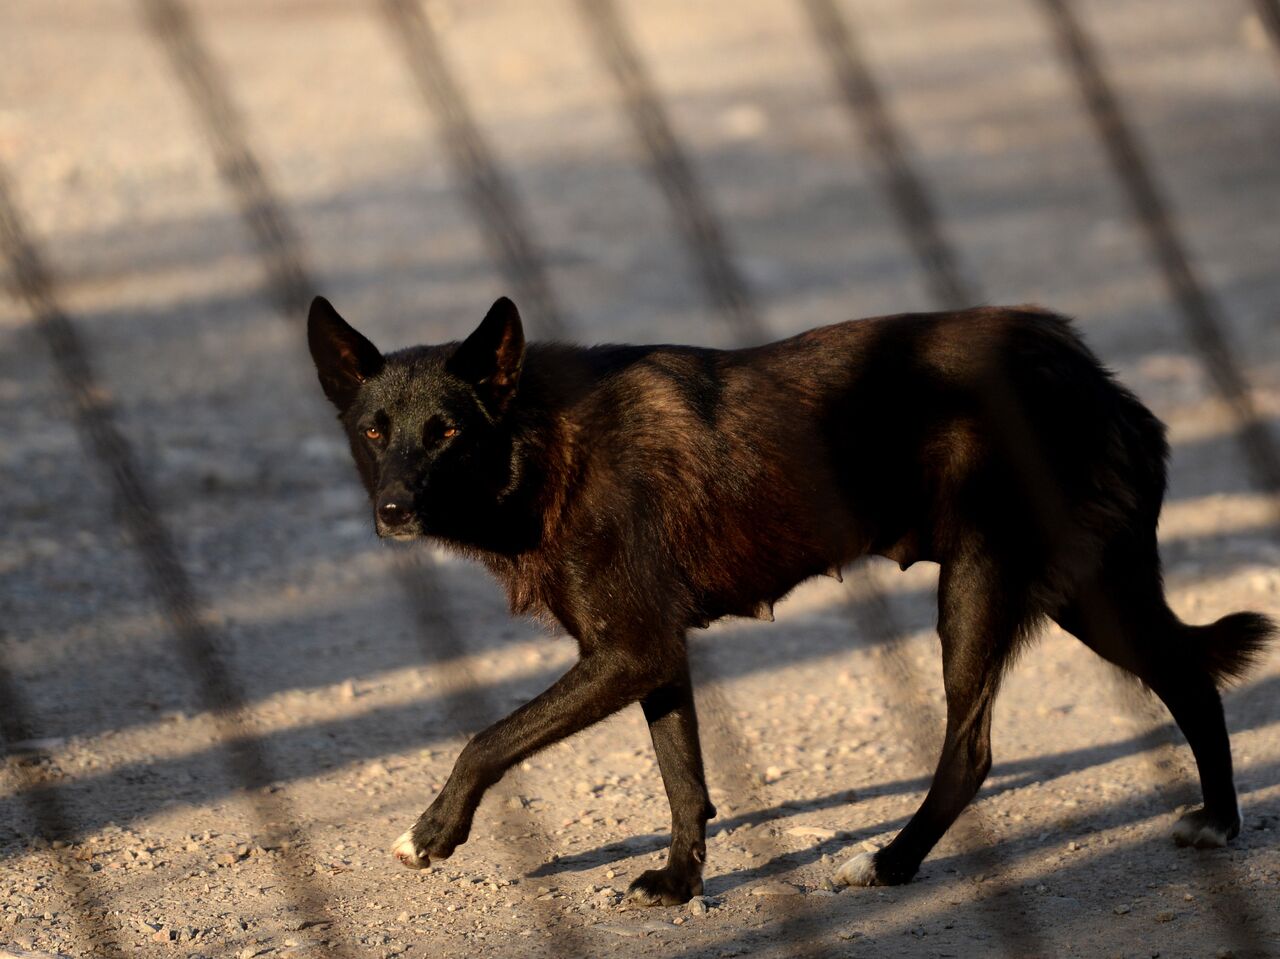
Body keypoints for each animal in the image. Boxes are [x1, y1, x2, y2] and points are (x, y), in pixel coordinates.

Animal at [307, 297, 1269, 906]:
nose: (392, 511)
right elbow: (683, 777)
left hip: (979, 587)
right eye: (376, 432)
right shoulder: (652, 655)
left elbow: (487, 739)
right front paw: (680, 883)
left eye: (447, 431)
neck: (542, 442)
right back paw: (1221, 822)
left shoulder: (627, 651)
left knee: (973, 748)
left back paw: (890, 864)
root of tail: (1089, 369)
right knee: (1190, 681)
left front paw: (432, 833)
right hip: (1088, 593)